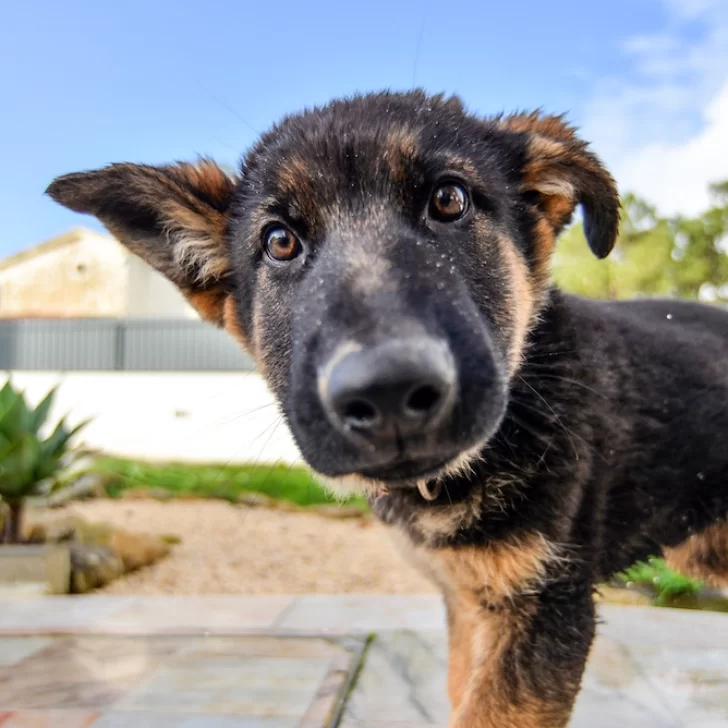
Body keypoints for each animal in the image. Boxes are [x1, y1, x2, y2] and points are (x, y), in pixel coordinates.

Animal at [47, 92, 728, 728]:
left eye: (449, 200)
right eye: (279, 241)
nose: (387, 393)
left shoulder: (546, 611)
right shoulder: (469, 602)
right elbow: (459, 691)